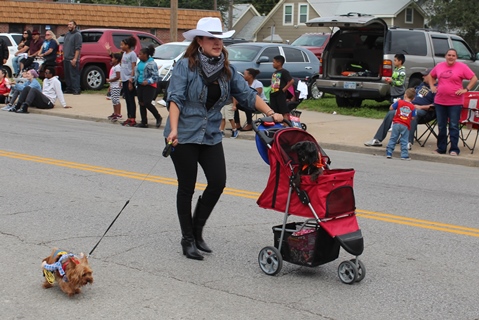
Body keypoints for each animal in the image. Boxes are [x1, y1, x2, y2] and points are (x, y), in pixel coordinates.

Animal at [255, 117, 364, 284]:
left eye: (310, 150)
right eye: (300, 150)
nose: (304, 156)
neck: (307, 163)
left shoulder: (316, 168)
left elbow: (318, 171)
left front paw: (314, 175)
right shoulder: (298, 170)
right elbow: (298, 174)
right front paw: (299, 178)